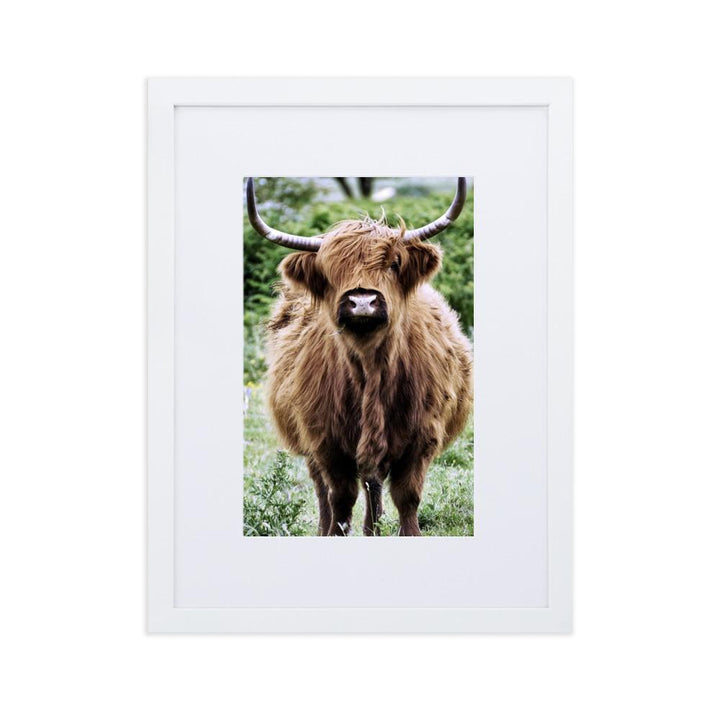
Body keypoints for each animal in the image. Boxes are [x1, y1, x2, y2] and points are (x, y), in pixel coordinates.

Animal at [246, 177, 473, 536]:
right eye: (330, 270)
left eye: (393, 264)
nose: (362, 301)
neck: (371, 369)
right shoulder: (325, 441)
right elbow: (340, 497)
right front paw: (334, 532)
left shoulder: (422, 438)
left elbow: (407, 496)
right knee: (325, 490)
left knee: (373, 483)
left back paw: (372, 528)